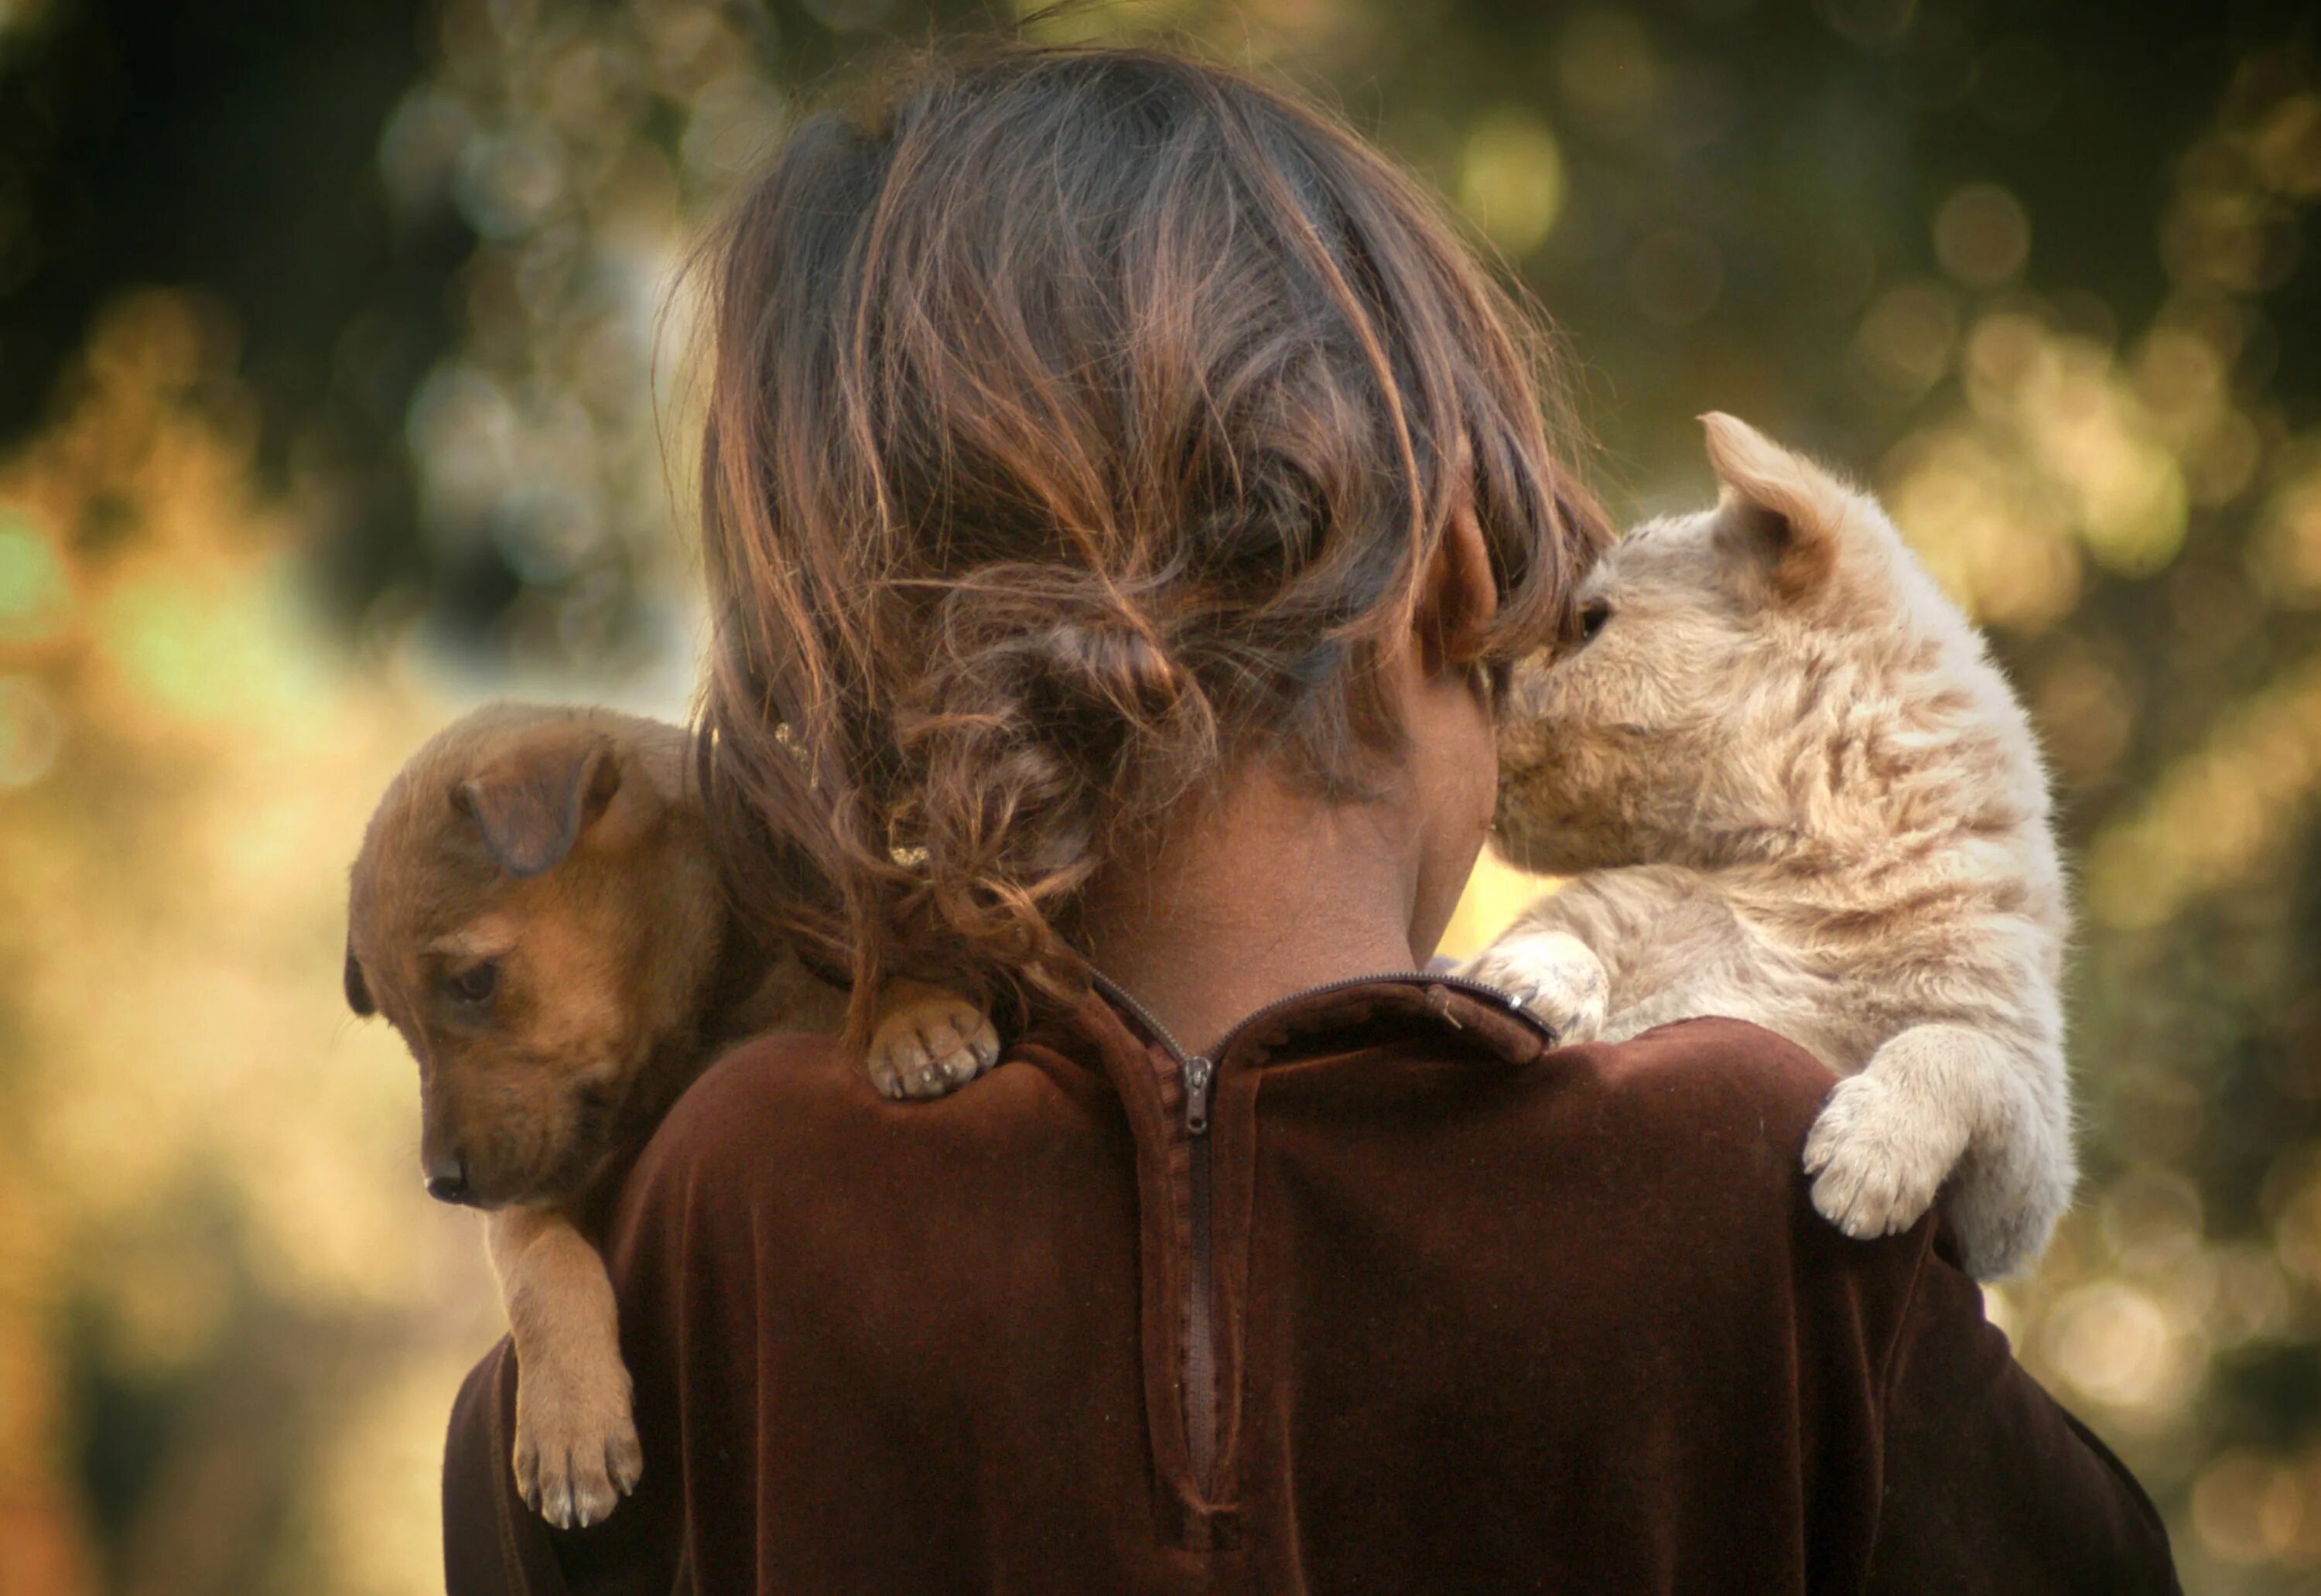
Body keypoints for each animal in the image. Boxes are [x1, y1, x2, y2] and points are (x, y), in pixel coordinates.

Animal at [344, 705, 998, 1531]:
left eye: (474, 981)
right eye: (402, 1030)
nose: (444, 1184)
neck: (688, 1037)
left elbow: (866, 961)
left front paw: (919, 1016)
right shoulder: (542, 1182)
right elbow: (539, 1263)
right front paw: (569, 1425)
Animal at [1467, 417, 2070, 1280]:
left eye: (1589, 624)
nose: (1487, 728)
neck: (1804, 881)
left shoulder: (2019, 1170)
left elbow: (1955, 1048)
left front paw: (1866, 1162)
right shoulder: (1607, 909)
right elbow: (1551, 940)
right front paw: (1533, 980)